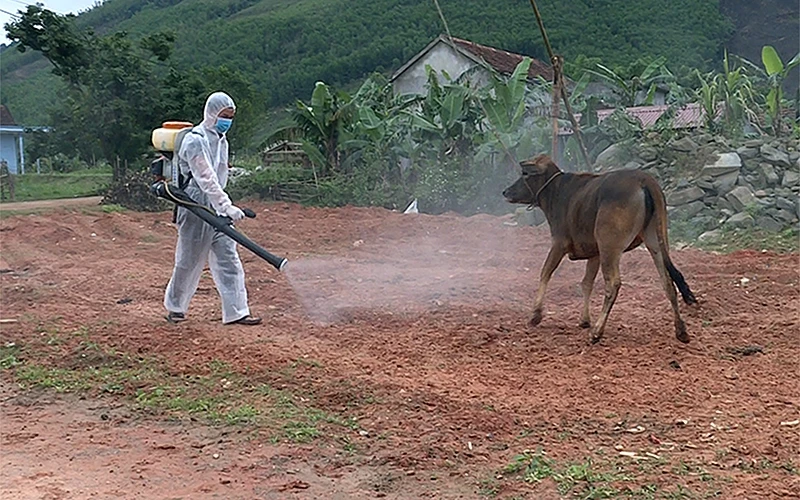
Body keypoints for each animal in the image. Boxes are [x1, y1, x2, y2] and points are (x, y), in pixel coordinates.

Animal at [504, 155, 696, 344]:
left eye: (525, 173)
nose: (505, 191)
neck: (556, 191)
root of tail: (644, 180)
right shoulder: (594, 253)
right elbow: (586, 283)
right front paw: (584, 320)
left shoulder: (559, 243)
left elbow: (545, 273)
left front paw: (536, 315)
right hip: (654, 241)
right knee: (668, 282)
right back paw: (681, 330)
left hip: (609, 246)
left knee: (613, 283)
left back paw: (597, 332)